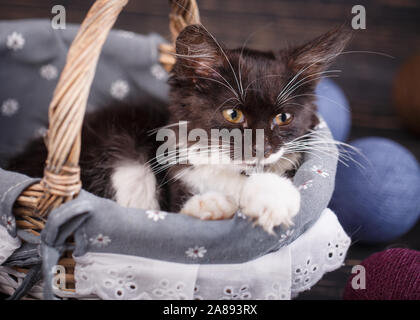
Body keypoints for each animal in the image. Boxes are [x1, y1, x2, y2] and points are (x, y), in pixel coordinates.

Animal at [8, 24, 350, 232]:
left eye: (283, 118)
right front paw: (213, 204)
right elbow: (178, 210)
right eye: (233, 114)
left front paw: (272, 199)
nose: (261, 148)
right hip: (116, 151)